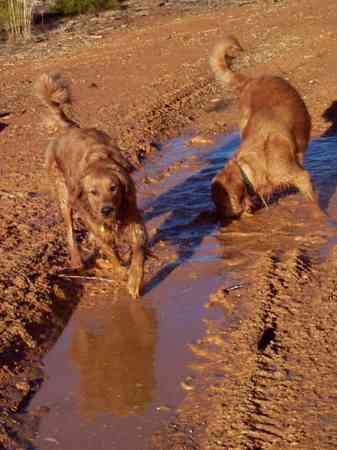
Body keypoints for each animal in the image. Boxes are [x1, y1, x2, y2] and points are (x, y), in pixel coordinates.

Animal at [34, 72, 146, 298]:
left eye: (113, 188)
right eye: (93, 192)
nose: (106, 209)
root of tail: (67, 129)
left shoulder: (132, 215)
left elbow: (138, 248)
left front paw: (134, 280)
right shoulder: (92, 218)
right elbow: (111, 252)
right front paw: (121, 272)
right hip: (64, 196)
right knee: (70, 230)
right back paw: (77, 259)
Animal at [209, 36, 314, 219]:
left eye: (221, 204)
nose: (216, 220)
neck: (247, 169)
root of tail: (251, 80)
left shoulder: (301, 177)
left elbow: (315, 206)